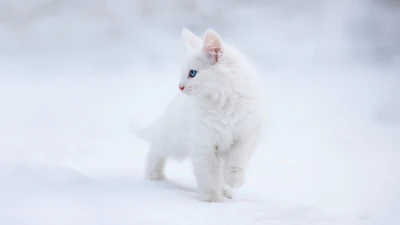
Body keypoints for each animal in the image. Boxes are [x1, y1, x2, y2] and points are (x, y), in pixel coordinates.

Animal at [135, 27, 266, 202]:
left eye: (192, 73)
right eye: (183, 73)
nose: (180, 86)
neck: (222, 102)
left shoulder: (247, 133)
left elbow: (237, 159)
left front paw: (233, 180)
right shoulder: (203, 143)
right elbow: (209, 175)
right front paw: (211, 198)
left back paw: (226, 190)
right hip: (173, 141)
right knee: (155, 151)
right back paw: (154, 175)